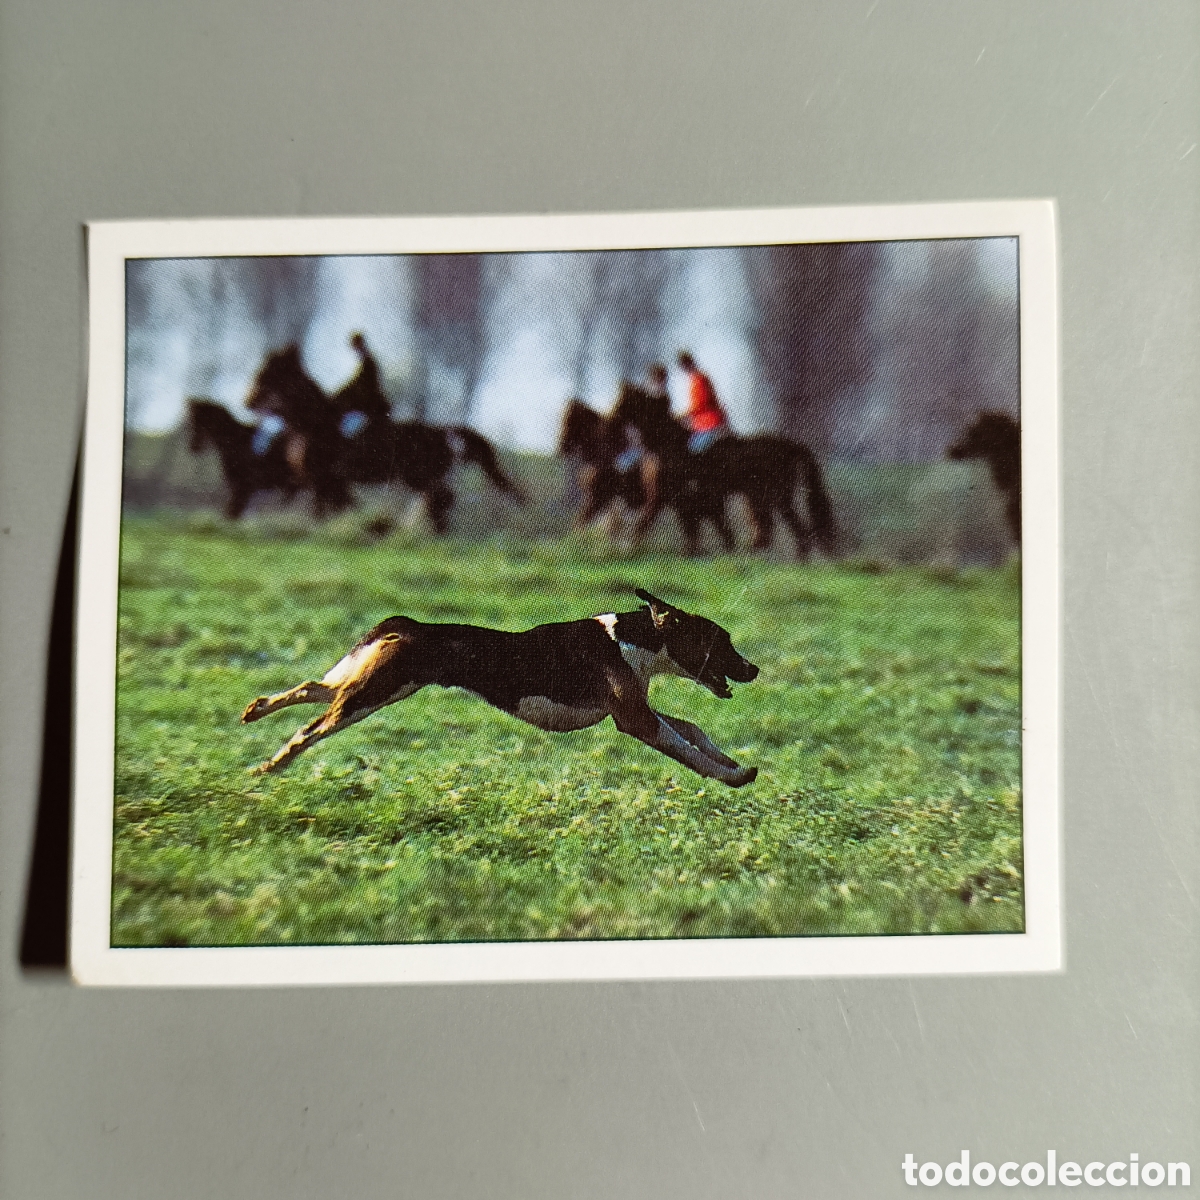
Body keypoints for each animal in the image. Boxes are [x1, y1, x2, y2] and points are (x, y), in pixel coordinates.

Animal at [245, 344, 525, 531]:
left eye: (266, 375)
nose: (248, 401)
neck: (313, 424)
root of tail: (445, 432)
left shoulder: (323, 478)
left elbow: (325, 509)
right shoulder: (327, 482)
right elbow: (333, 506)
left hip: (420, 476)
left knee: (441, 499)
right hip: (421, 478)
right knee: (439, 501)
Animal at [610, 383, 836, 558]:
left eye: (621, 402)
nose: (609, 420)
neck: (668, 445)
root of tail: (790, 445)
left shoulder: (664, 498)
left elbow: (646, 523)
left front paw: (628, 549)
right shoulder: (684, 500)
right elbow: (700, 529)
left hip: (774, 497)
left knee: (790, 529)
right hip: (760, 497)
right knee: (770, 529)